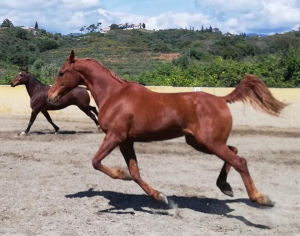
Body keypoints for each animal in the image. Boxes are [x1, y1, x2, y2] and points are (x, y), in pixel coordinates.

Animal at [47, 50, 288, 206]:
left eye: (61, 72)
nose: (50, 96)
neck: (114, 95)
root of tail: (221, 99)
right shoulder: (126, 141)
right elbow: (135, 172)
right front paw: (160, 197)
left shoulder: (115, 136)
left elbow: (96, 161)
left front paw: (121, 175)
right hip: (200, 142)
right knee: (235, 152)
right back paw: (225, 186)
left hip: (210, 143)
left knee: (240, 161)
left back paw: (260, 198)